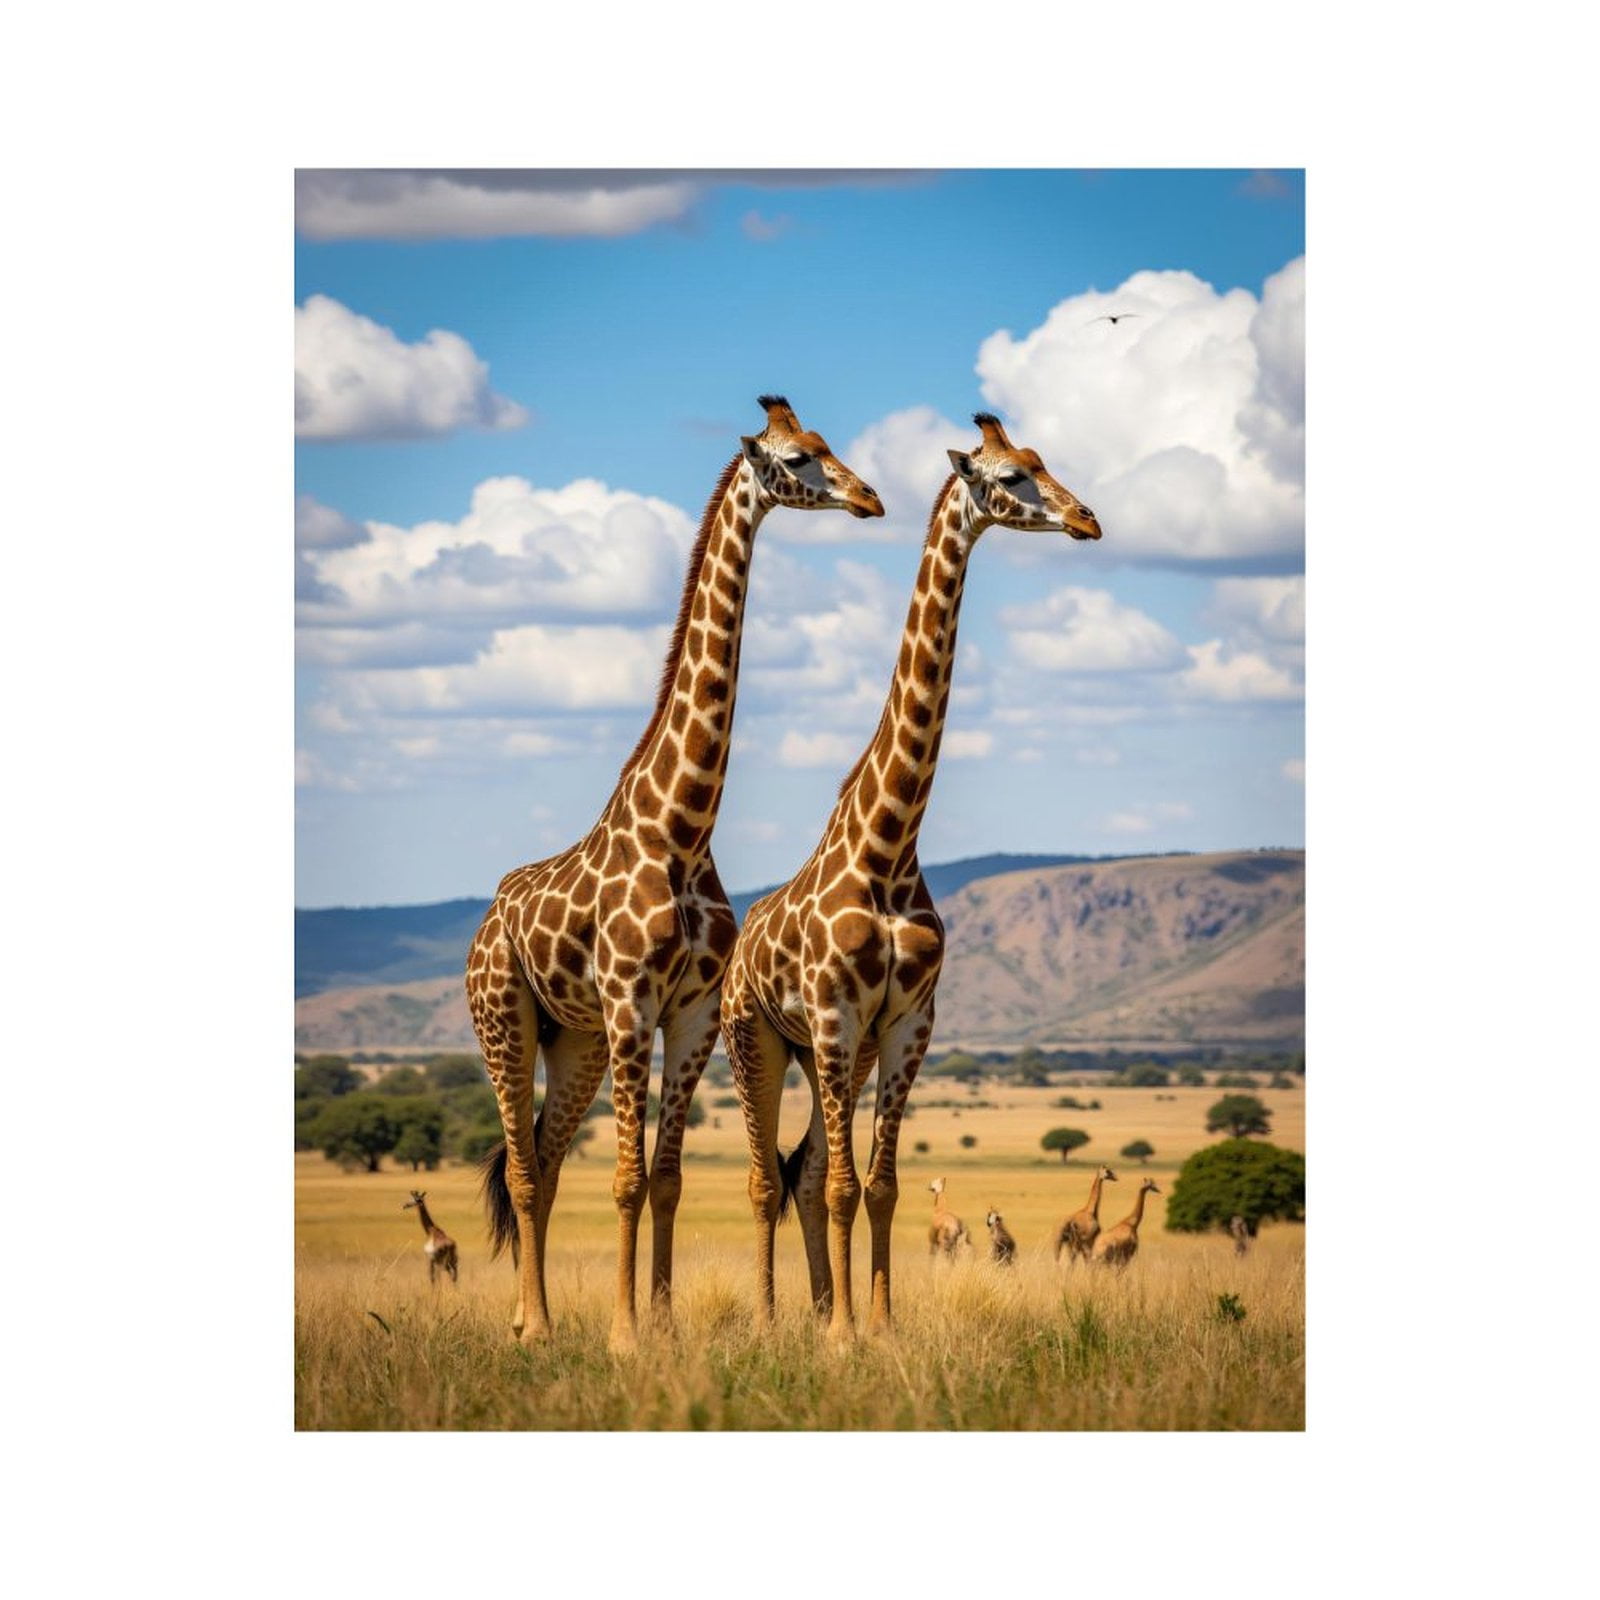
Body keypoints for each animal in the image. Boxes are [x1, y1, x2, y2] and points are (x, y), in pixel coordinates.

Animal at [469, 396, 883, 1352]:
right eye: (800, 459)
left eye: (831, 446)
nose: (869, 498)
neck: (684, 828)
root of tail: (484, 922)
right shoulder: (631, 1001)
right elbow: (623, 1179)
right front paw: (624, 1334)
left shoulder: (687, 1013)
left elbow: (664, 1178)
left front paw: (659, 1324)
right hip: (504, 1021)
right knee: (521, 1168)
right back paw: (533, 1326)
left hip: (574, 1039)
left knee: (545, 1159)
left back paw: (531, 1317)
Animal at [722, 412, 1102, 1340]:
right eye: (1011, 475)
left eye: (1042, 461)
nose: (1088, 519)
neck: (890, 844)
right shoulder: (832, 1016)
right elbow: (846, 1184)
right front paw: (846, 1338)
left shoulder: (905, 1026)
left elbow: (880, 1186)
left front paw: (878, 1326)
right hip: (756, 1039)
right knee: (764, 1177)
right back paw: (775, 1318)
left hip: (830, 1054)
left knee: (802, 1169)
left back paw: (822, 1308)